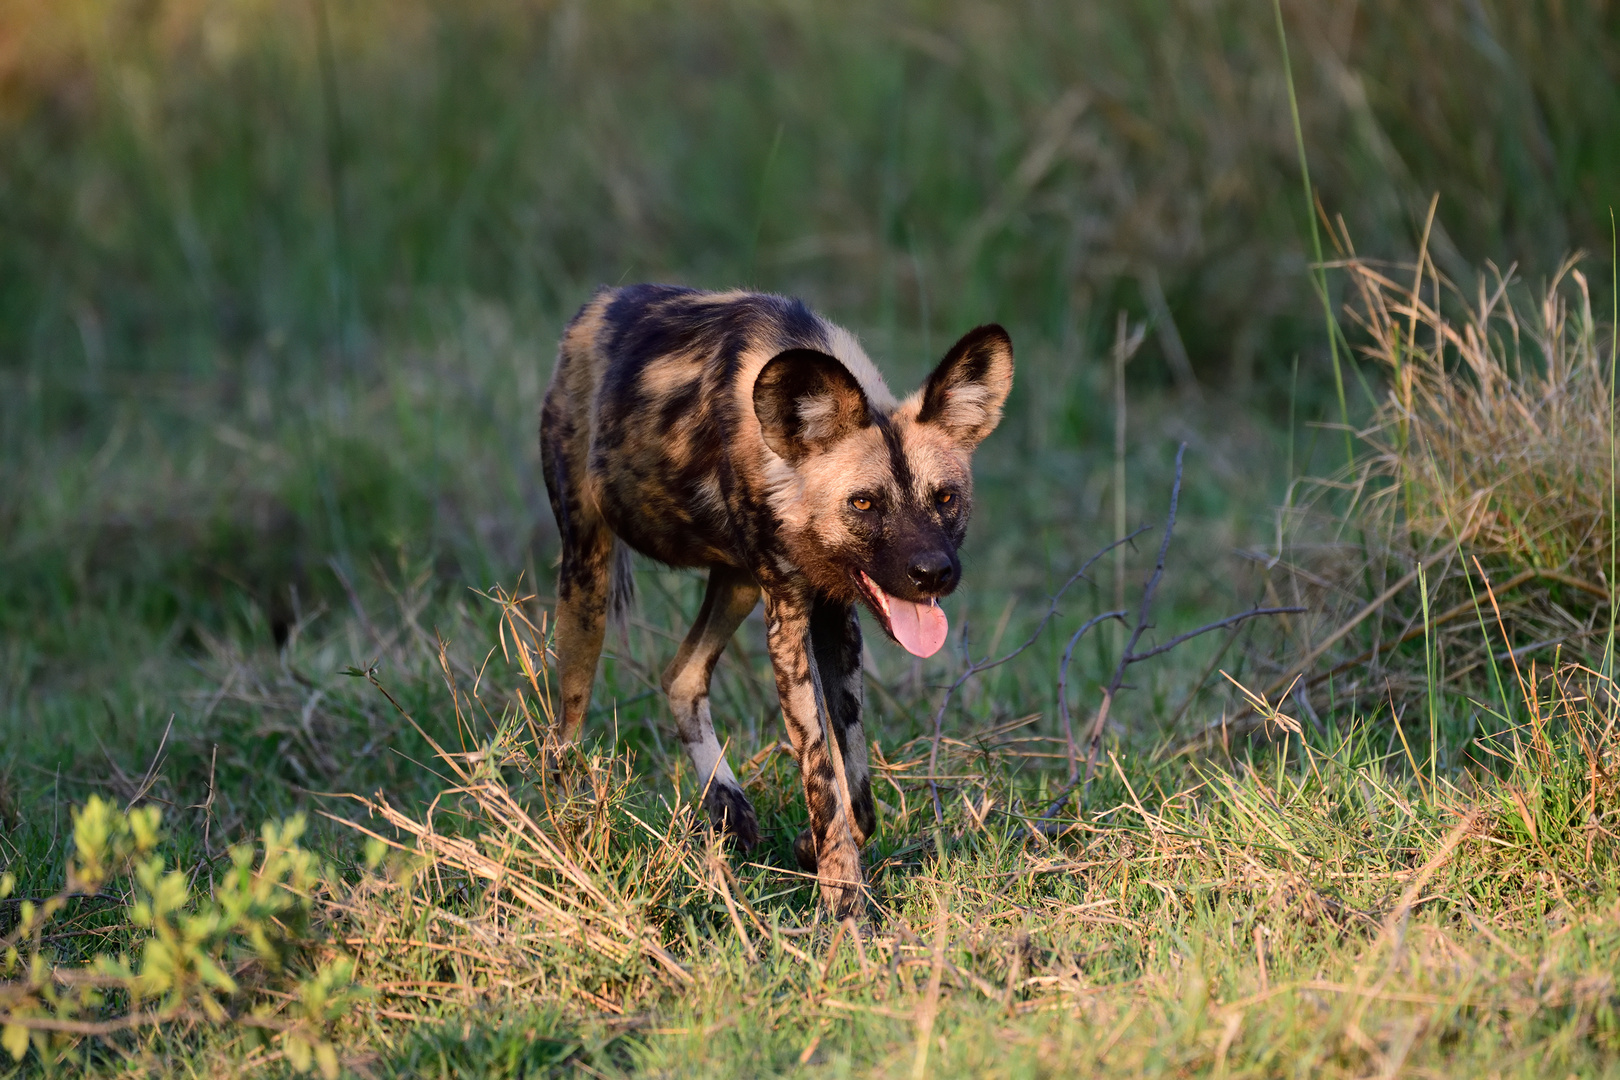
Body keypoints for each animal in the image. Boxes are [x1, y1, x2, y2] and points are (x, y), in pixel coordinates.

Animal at [550, 283, 1017, 919]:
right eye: (864, 504)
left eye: (944, 498)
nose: (933, 574)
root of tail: (599, 301)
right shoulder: (790, 623)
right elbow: (824, 777)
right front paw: (845, 908)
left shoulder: (837, 615)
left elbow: (857, 791)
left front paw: (812, 851)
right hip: (588, 579)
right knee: (564, 736)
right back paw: (570, 840)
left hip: (737, 583)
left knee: (681, 675)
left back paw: (727, 804)